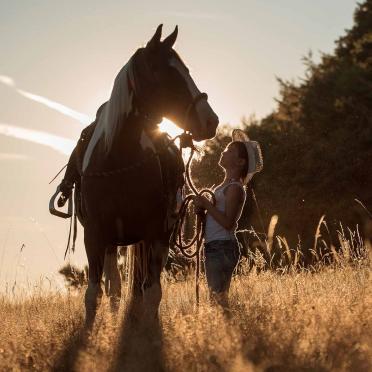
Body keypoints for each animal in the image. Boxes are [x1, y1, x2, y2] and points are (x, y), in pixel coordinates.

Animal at [61, 24, 219, 326]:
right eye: (167, 74)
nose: (211, 121)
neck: (118, 158)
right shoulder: (95, 237)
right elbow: (94, 293)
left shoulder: (157, 233)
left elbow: (152, 291)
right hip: (112, 244)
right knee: (114, 286)